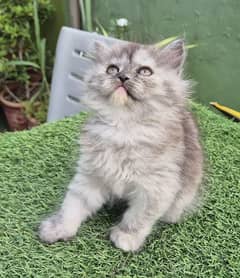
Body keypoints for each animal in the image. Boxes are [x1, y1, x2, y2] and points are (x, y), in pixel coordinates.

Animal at [39, 39, 202, 252]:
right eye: (112, 69)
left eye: (145, 71)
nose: (122, 76)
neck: (122, 128)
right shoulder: (90, 176)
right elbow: (72, 206)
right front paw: (59, 228)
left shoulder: (157, 188)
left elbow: (138, 217)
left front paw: (126, 237)